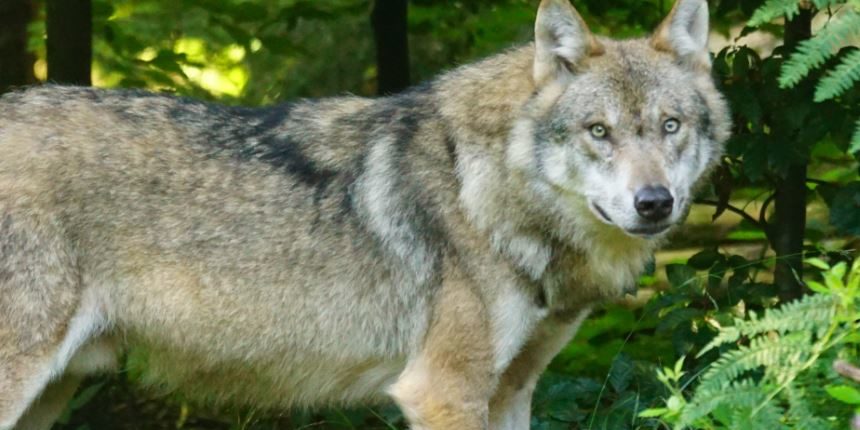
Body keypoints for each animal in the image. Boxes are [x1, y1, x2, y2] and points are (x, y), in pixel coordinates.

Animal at [0, 0, 729, 428]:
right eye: (599, 132)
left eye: (670, 126)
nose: (654, 202)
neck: (485, 188)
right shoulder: (442, 392)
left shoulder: (512, 392)